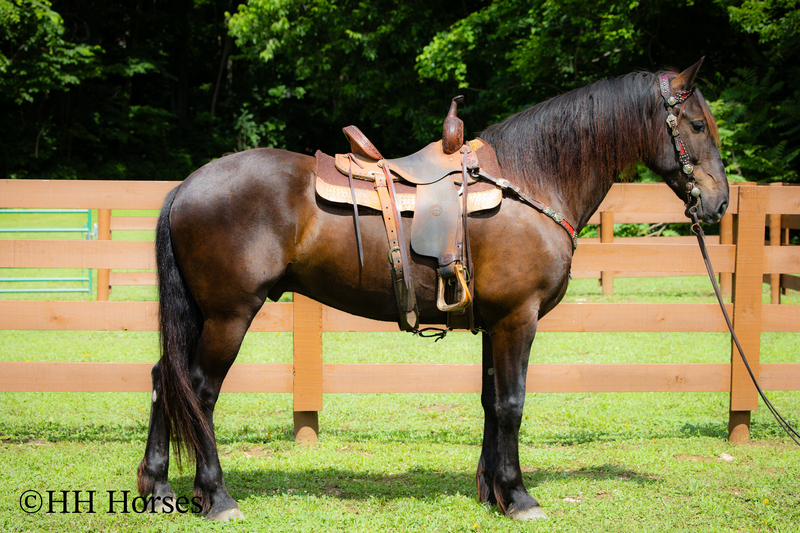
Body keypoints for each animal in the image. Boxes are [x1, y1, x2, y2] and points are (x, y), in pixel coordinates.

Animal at [136, 59, 729, 521]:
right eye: (697, 124)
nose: (719, 204)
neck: (530, 181)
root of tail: (188, 186)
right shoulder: (519, 317)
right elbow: (512, 403)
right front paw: (520, 497)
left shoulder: (496, 322)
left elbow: (492, 401)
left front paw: (493, 493)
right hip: (230, 315)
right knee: (198, 390)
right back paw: (216, 497)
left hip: (204, 315)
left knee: (166, 380)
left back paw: (159, 486)